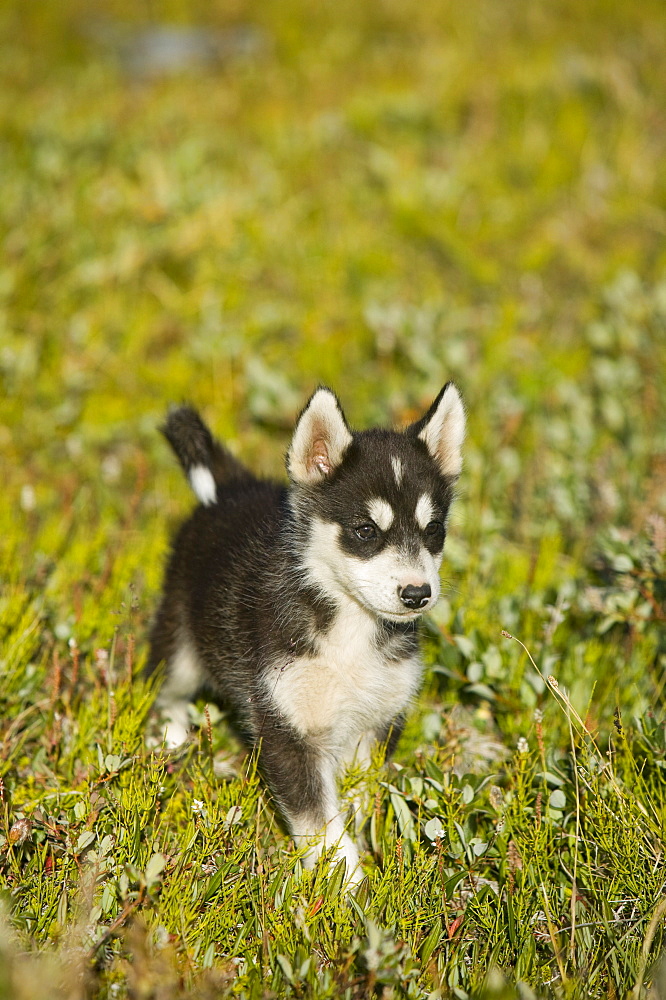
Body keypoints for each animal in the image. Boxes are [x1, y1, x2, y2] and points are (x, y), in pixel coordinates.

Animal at [148, 380, 464, 884]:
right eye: (365, 530)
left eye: (434, 529)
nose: (417, 593)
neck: (351, 630)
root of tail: (231, 491)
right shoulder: (284, 725)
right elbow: (320, 822)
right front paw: (346, 886)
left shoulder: (376, 722)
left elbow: (359, 799)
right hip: (180, 641)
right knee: (164, 686)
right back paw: (171, 738)